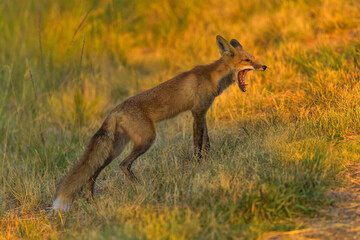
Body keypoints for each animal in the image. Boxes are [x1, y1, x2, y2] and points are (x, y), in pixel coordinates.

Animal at [53, 35, 268, 212]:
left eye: (254, 58)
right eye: (247, 60)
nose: (264, 67)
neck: (212, 77)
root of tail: (114, 110)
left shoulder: (203, 112)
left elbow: (206, 143)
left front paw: (208, 162)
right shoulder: (197, 111)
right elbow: (197, 144)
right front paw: (199, 167)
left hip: (116, 148)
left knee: (95, 170)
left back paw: (91, 199)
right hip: (147, 139)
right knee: (123, 165)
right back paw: (141, 187)